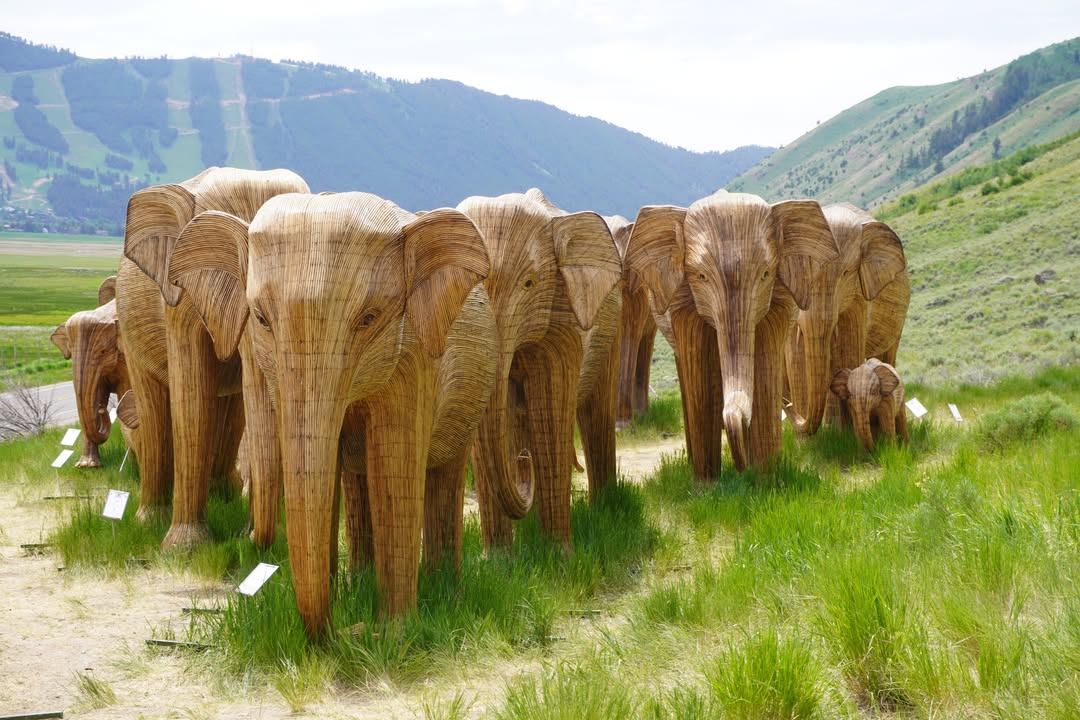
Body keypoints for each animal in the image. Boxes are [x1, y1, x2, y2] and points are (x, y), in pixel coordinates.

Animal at [116, 167, 309, 549]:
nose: (248, 540)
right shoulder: (178, 295)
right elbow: (190, 397)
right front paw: (184, 549)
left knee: (231, 409)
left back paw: (225, 497)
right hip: (127, 322)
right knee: (154, 404)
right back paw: (149, 522)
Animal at [167, 191, 497, 635]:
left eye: (369, 318)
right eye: (261, 319)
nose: (347, 630)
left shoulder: (413, 356)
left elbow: (393, 466)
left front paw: (394, 635)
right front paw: (349, 606)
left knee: (443, 471)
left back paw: (445, 589)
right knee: (358, 481)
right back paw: (363, 580)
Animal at [460, 189, 623, 548]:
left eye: (529, 284)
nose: (523, 462)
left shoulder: (563, 318)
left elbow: (551, 407)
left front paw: (559, 552)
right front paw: (498, 556)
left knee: (596, 410)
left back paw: (604, 507)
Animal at [625, 190, 839, 479]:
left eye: (766, 274)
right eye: (701, 276)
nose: (742, 470)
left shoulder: (779, 298)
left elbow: (765, 361)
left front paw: (766, 477)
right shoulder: (682, 302)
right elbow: (697, 366)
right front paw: (707, 484)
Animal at [784, 203, 909, 434]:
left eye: (845, 273)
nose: (786, 404)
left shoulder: (860, 291)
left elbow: (849, 344)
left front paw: (841, 433)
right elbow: (794, 353)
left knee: (888, 353)